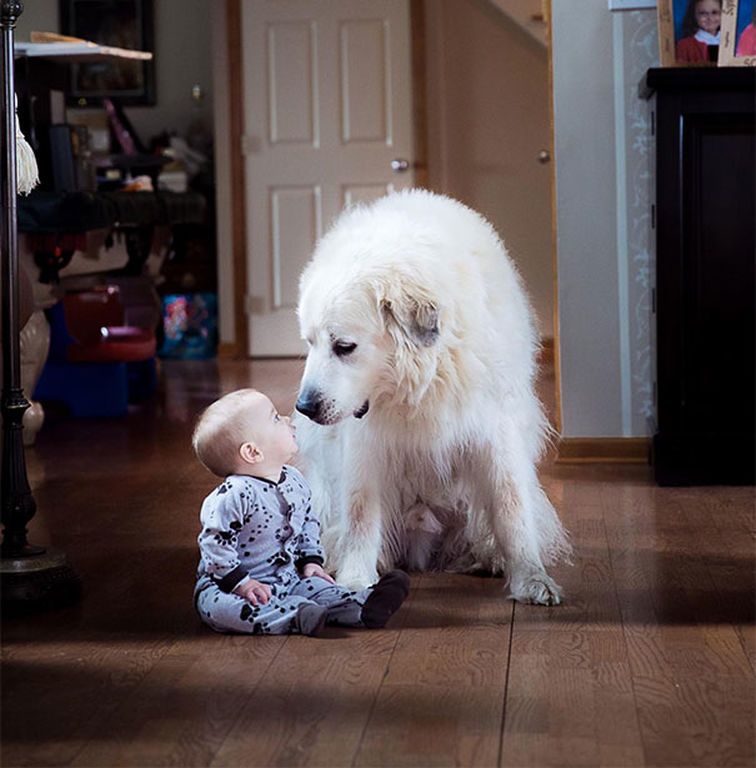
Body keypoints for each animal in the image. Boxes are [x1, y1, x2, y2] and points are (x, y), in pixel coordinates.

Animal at [292, 189, 568, 604]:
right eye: (309, 343)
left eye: (344, 347)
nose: (304, 407)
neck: (421, 382)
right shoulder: (364, 440)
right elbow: (360, 511)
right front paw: (355, 581)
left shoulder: (494, 430)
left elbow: (511, 507)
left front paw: (531, 578)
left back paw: (487, 556)